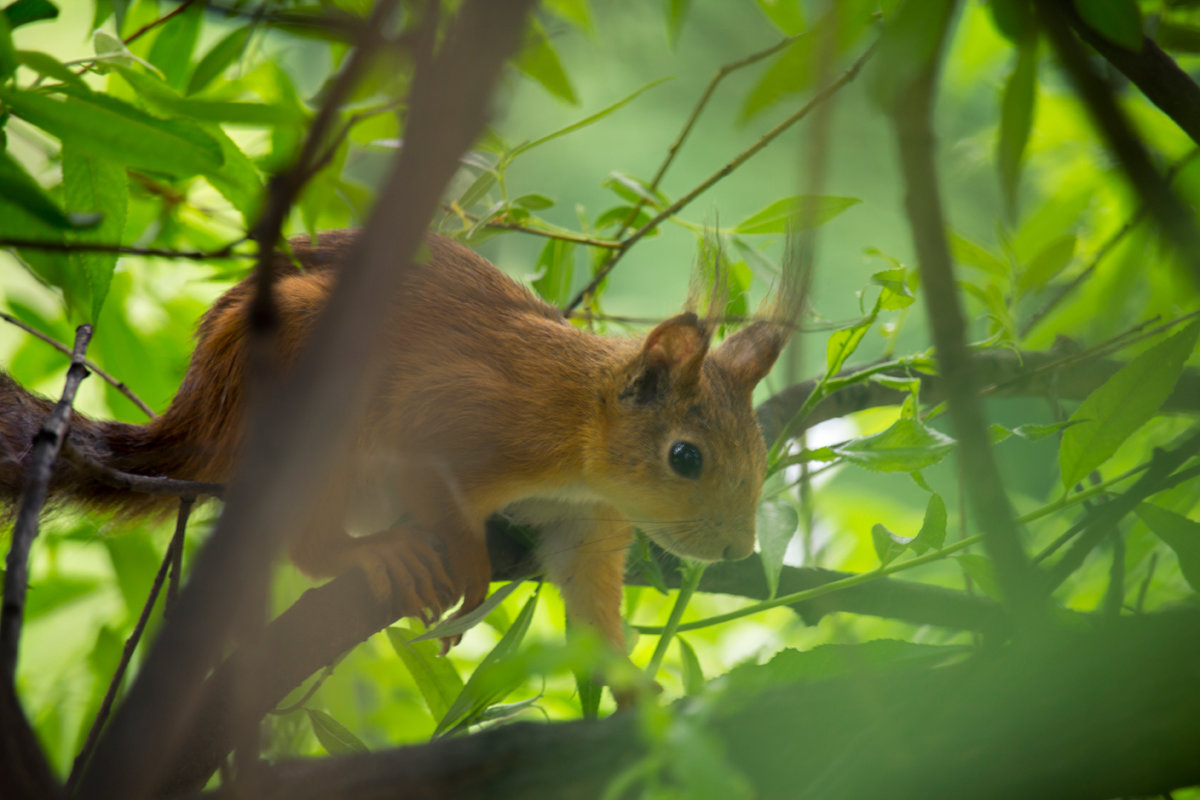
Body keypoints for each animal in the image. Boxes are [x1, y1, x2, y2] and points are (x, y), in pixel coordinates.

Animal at [2, 227, 796, 690]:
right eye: (685, 457)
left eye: (760, 449)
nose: (737, 548)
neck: (581, 432)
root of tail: (200, 421)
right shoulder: (458, 415)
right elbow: (432, 478)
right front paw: (470, 569)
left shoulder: (586, 528)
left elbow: (591, 601)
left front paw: (635, 694)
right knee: (305, 538)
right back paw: (369, 552)